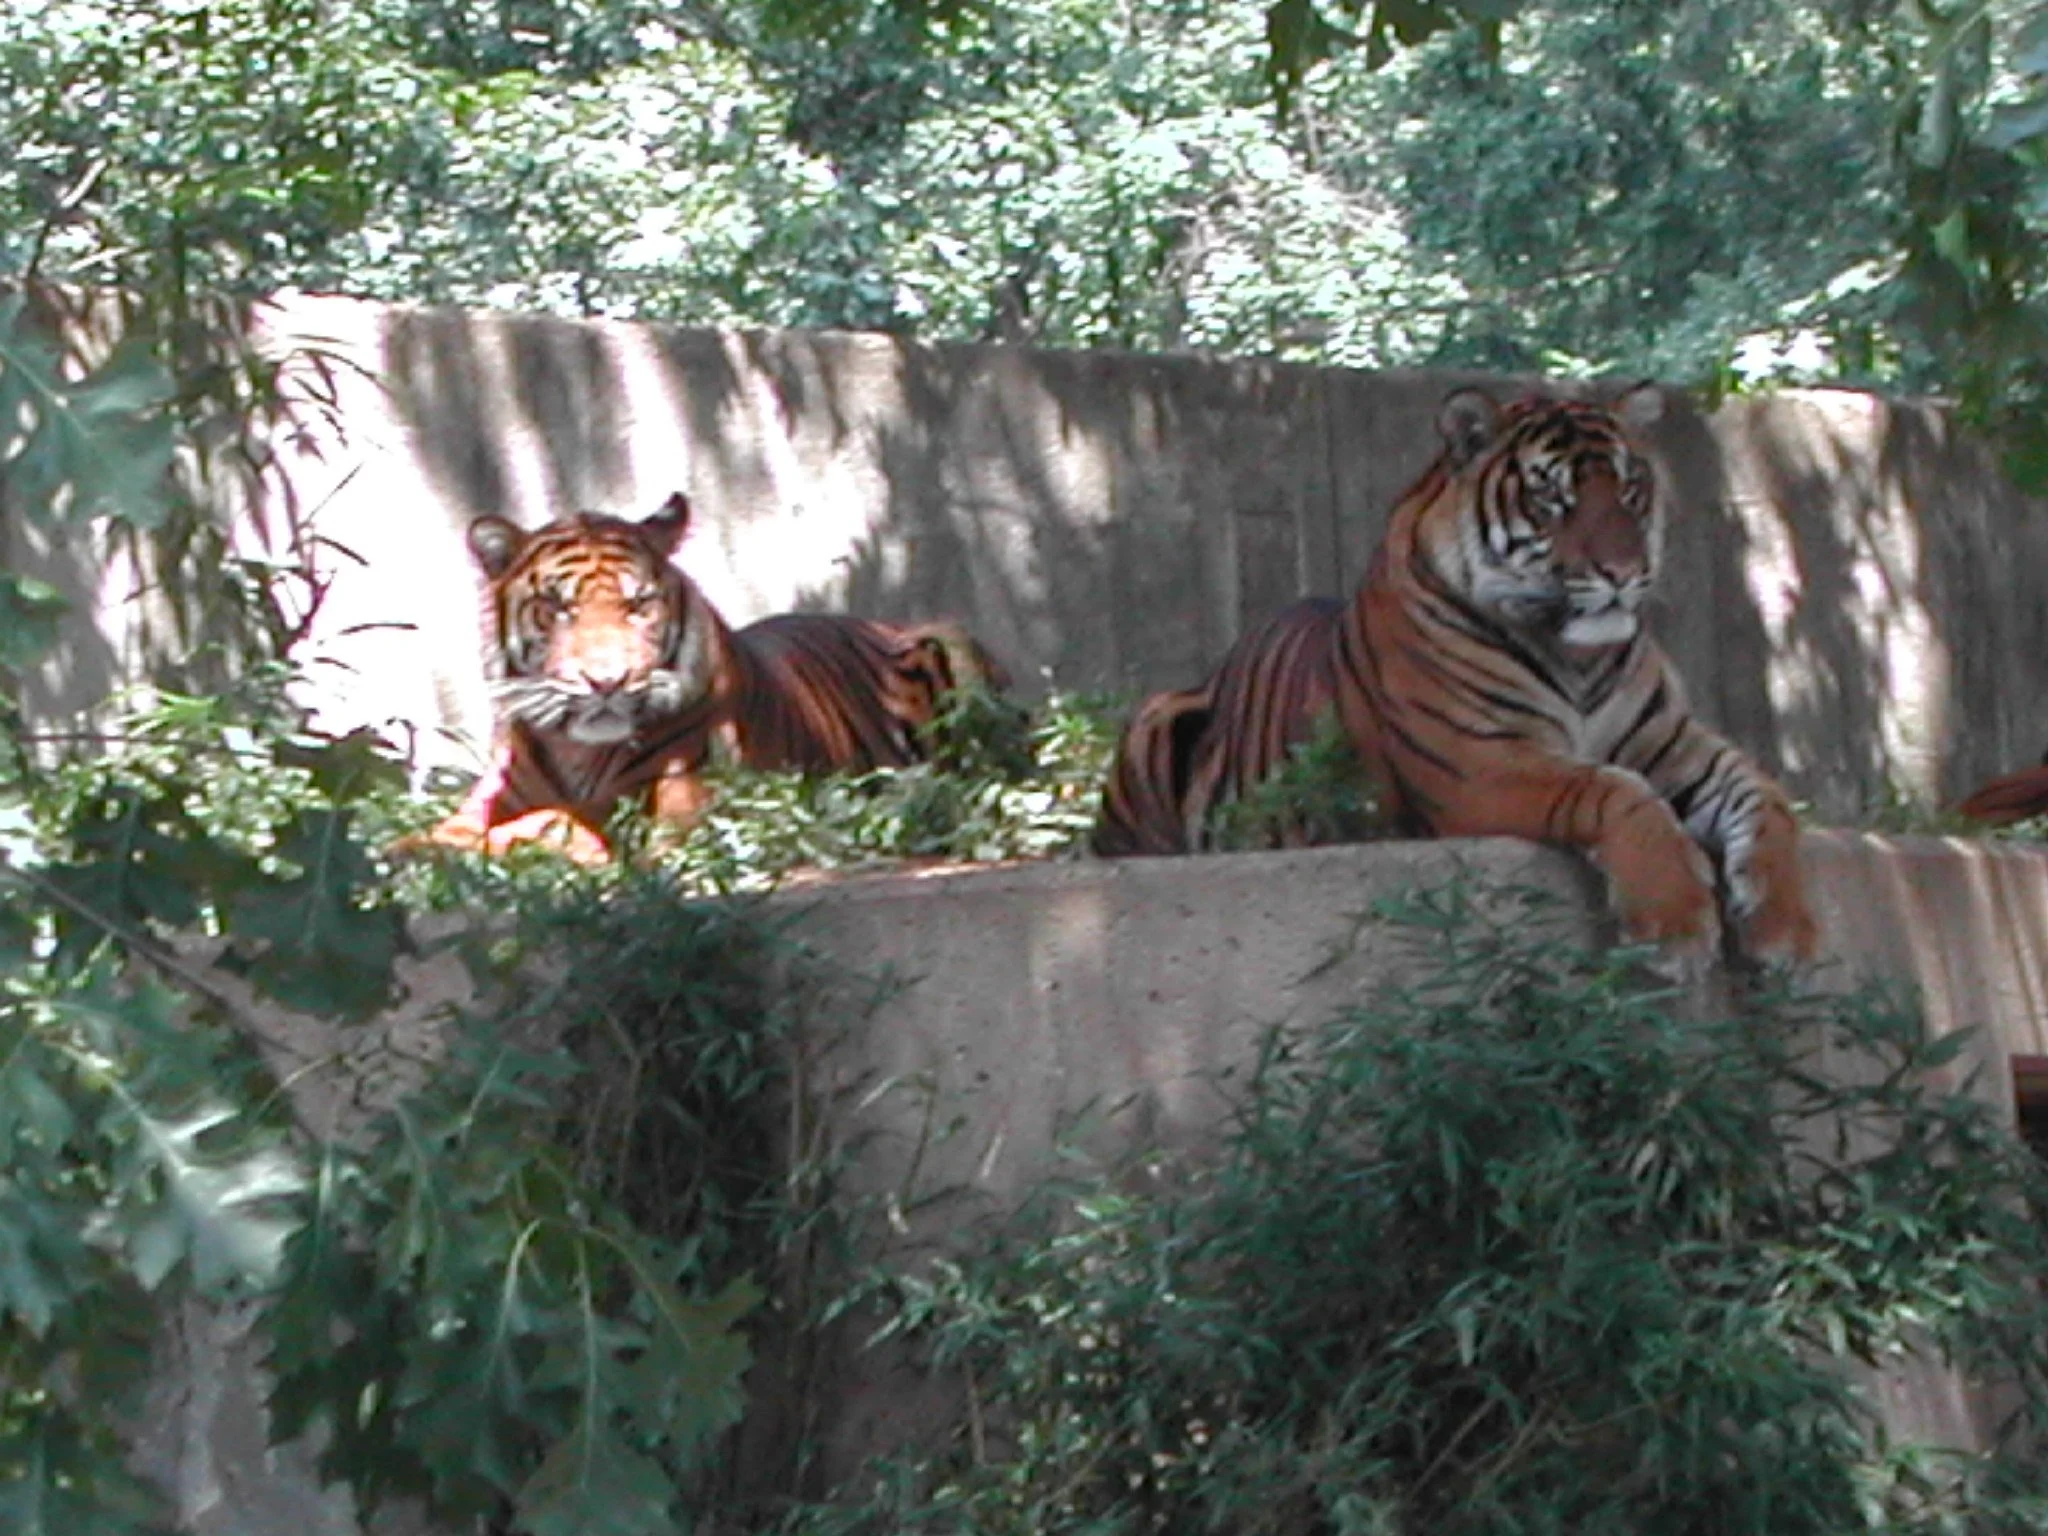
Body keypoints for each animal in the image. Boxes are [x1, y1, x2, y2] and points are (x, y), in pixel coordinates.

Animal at [422, 491, 1009, 863]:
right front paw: (417, 850)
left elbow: (560, 819)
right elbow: (450, 828)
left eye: (638, 606)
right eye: (557, 609)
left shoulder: (681, 809)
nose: (607, 683)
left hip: (952, 643)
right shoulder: (484, 801)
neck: (575, 751)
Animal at [1094, 383, 1818, 962]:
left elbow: (1769, 799)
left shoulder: (1678, 749)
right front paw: (1676, 924)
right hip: (1155, 722)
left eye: (1630, 490)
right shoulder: (1481, 766)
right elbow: (1614, 790)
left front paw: (1786, 930)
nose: (1623, 572)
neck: (1578, 658)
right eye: (1553, 498)